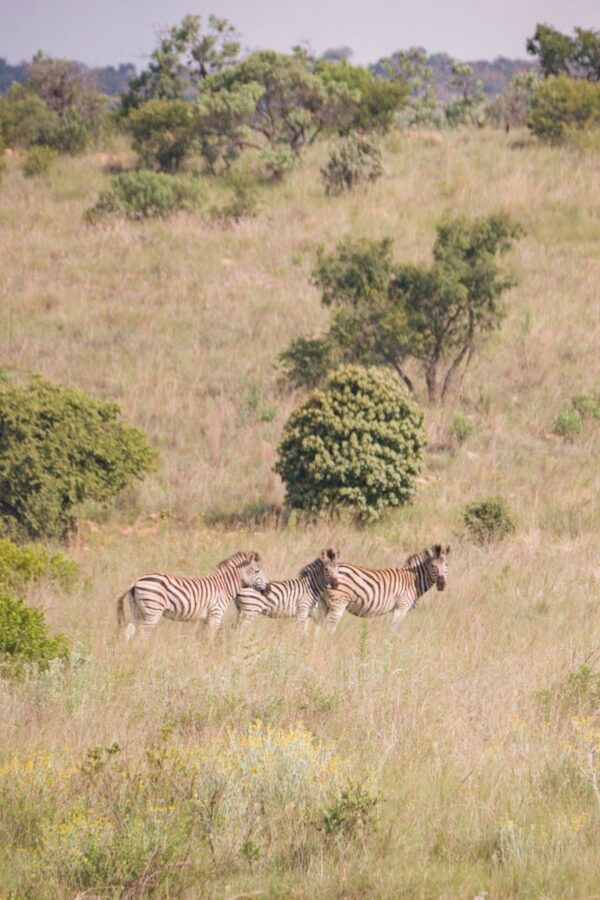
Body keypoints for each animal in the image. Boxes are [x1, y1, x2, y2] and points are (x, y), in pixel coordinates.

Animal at [116, 550, 270, 640]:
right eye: (256, 571)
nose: (268, 589)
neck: (224, 586)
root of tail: (137, 580)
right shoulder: (216, 613)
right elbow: (210, 637)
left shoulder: (206, 618)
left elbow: (202, 637)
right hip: (153, 610)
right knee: (143, 633)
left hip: (137, 610)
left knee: (129, 631)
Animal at [321, 544, 451, 632]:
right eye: (433, 566)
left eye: (446, 565)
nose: (441, 584)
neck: (413, 580)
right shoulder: (401, 607)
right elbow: (392, 630)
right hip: (339, 603)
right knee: (329, 628)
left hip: (325, 603)